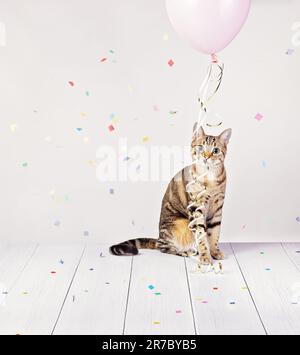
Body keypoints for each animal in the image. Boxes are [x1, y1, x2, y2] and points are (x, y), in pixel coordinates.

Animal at [110, 125, 232, 264]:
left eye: (215, 150)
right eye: (201, 147)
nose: (206, 157)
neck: (209, 178)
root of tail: (158, 237)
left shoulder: (217, 208)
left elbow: (214, 233)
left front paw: (215, 252)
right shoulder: (196, 207)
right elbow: (201, 235)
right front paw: (205, 256)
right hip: (179, 224)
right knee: (164, 247)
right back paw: (186, 251)